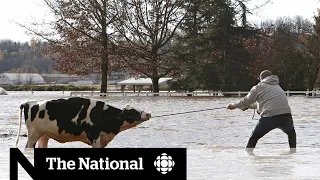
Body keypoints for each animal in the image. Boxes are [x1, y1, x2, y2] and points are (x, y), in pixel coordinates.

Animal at [15, 97, 153, 148]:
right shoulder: (95, 138)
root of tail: (28, 103)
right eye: (133, 111)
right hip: (33, 135)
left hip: (44, 135)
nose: (148, 114)